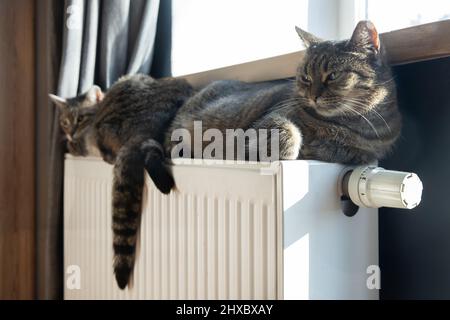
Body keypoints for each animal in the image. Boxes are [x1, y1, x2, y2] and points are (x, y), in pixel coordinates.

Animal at [166, 21, 400, 164]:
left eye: (332, 75)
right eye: (306, 77)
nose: (313, 96)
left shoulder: (372, 149)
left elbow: (359, 153)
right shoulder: (268, 119)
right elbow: (287, 131)